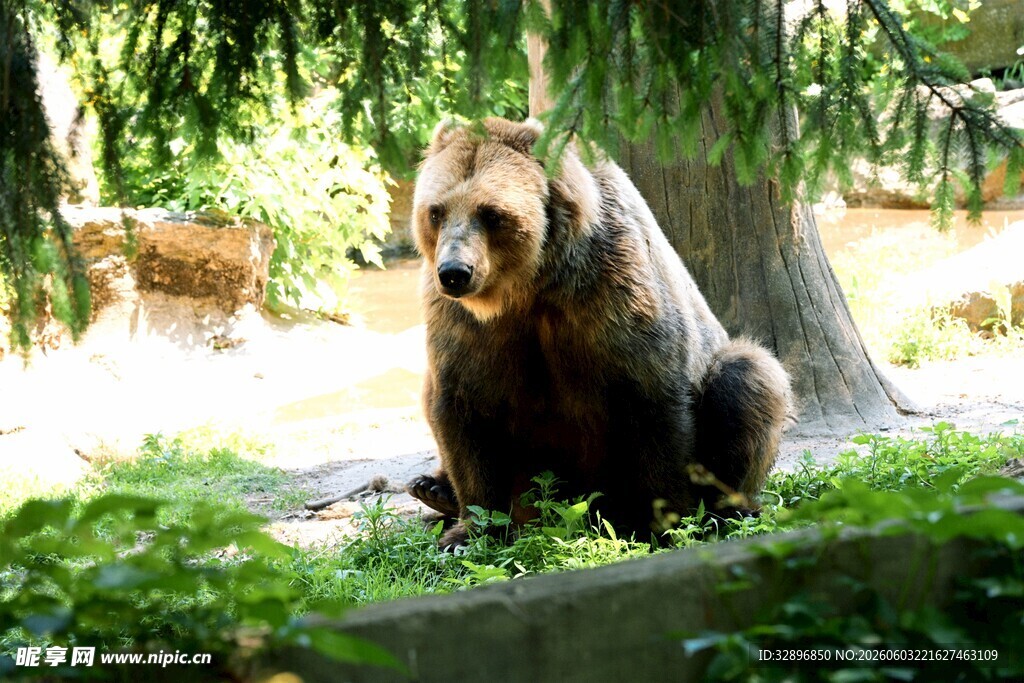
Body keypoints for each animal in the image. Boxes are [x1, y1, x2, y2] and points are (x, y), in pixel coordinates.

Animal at [406, 117, 792, 548]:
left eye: (491, 213)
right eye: (436, 211)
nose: (455, 272)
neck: (527, 287)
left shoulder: (612, 297)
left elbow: (652, 404)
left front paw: (665, 523)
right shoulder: (466, 328)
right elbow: (462, 409)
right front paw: (468, 531)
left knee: (748, 378)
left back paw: (729, 508)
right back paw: (432, 488)